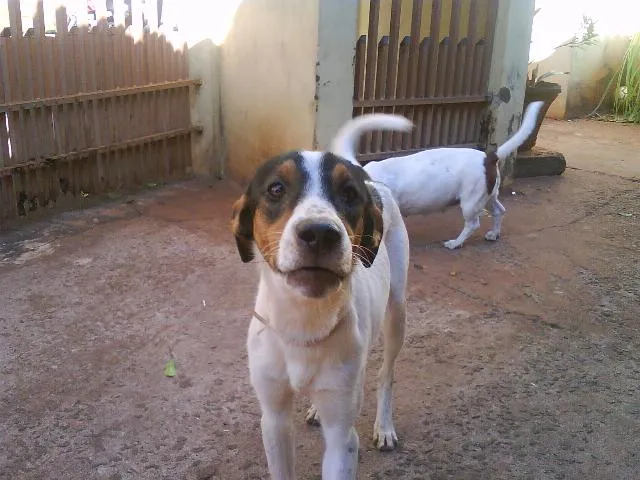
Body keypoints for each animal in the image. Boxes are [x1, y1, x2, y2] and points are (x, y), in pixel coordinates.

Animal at [234, 140, 410, 476]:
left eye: (350, 193)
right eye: (276, 188)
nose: (320, 232)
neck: (305, 321)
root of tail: (374, 181)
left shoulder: (342, 437)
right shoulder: (273, 419)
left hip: (396, 312)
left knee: (386, 373)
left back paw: (385, 426)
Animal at [330, 101, 544, 251]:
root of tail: (489, 157)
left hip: (470, 201)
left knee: (473, 224)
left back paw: (456, 243)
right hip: (488, 195)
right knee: (499, 211)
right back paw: (493, 234)